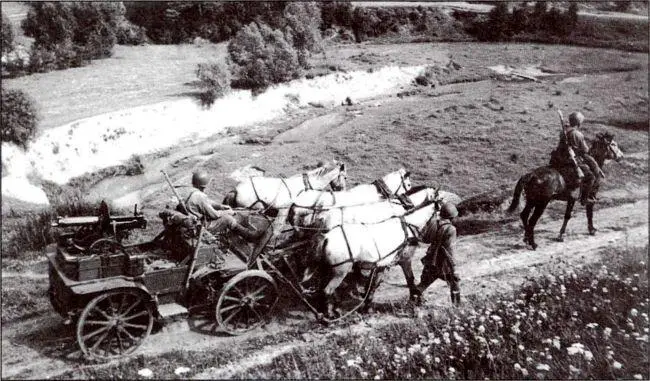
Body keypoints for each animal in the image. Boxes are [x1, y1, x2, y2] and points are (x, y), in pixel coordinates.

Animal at [310, 197, 438, 316]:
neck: (407, 227)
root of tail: (327, 237)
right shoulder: (405, 260)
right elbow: (410, 279)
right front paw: (416, 299)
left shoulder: (382, 265)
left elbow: (374, 285)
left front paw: (367, 307)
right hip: (340, 271)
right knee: (327, 290)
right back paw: (329, 314)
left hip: (328, 269)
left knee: (323, 290)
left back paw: (328, 310)